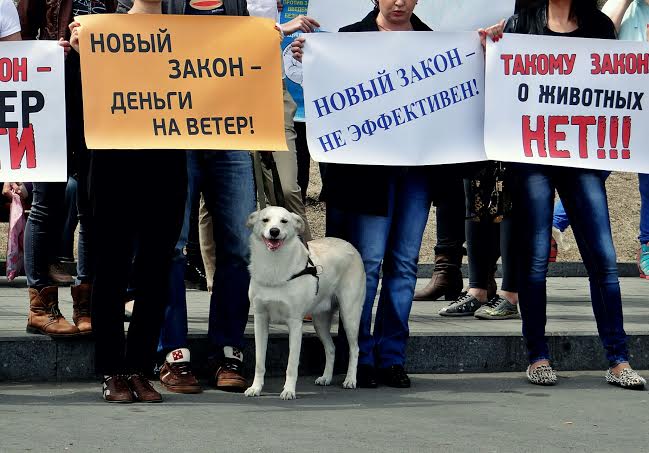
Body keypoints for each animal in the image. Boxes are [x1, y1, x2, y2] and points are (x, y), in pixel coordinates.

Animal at [243, 206, 364, 400]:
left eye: (284, 221)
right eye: (265, 220)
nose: (274, 231)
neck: (274, 266)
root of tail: (349, 245)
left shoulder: (295, 324)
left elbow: (292, 365)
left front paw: (289, 390)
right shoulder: (260, 319)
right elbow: (259, 362)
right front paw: (256, 388)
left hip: (349, 315)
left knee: (355, 349)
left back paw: (350, 380)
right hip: (320, 321)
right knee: (331, 348)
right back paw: (326, 377)